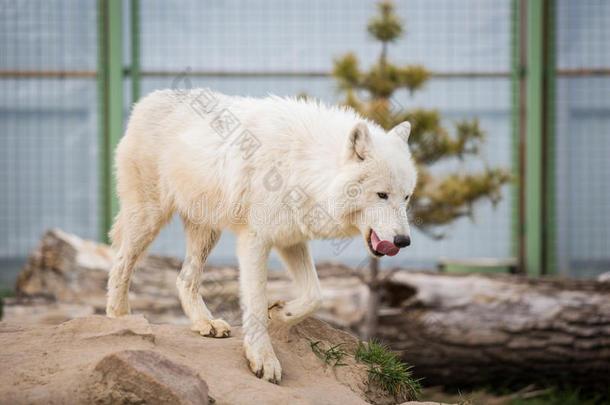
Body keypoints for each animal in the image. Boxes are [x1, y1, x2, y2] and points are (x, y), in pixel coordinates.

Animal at [105, 88, 418, 382]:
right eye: (381, 195)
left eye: (406, 197)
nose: (404, 241)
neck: (303, 165)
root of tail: (147, 100)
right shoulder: (255, 239)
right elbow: (255, 303)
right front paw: (263, 358)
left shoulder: (292, 238)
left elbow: (315, 295)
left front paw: (280, 312)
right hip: (148, 218)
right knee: (120, 263)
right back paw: (120, 318)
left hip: (207, 232)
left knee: (184, 278)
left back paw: (205, 323)